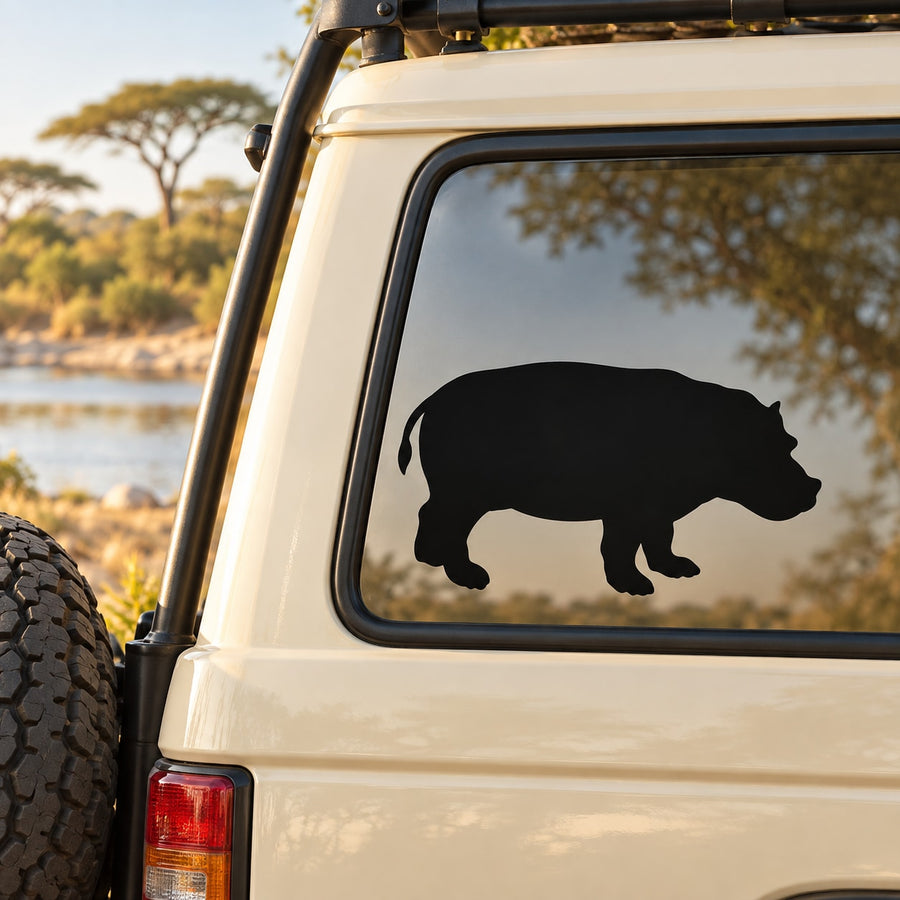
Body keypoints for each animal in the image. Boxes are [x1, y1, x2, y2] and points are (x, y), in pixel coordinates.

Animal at [397, 362, 821, 595]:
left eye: (791, 442)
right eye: (775, 446)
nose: (814, 487)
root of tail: (436, 397)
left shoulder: (652, 509)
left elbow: (656, 542)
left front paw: (681, 570)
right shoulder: (633, 509)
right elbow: (621, 547)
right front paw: (638, 589)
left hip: (464, 494)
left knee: (429, 514)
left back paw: (430, 560)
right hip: (466, 495)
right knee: (447, 524)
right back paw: (472, 578)